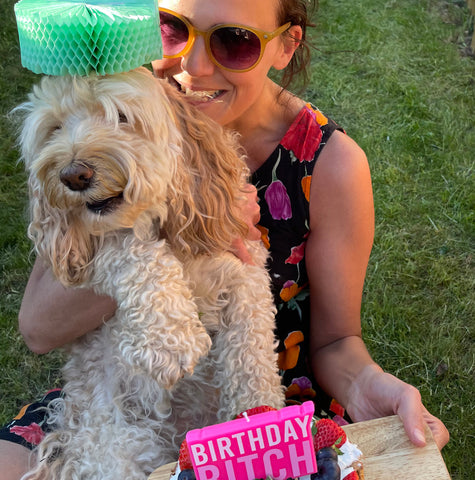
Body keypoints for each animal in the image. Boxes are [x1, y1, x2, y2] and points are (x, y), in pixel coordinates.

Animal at [16, 66, 284, 480]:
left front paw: (260, 412)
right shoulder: (102, 249)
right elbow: (129, 250)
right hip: (116, 445)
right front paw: (169, 341)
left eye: (121, 117)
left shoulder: (245, 265)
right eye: (55, 128)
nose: (73, 174)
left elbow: (251, 351)